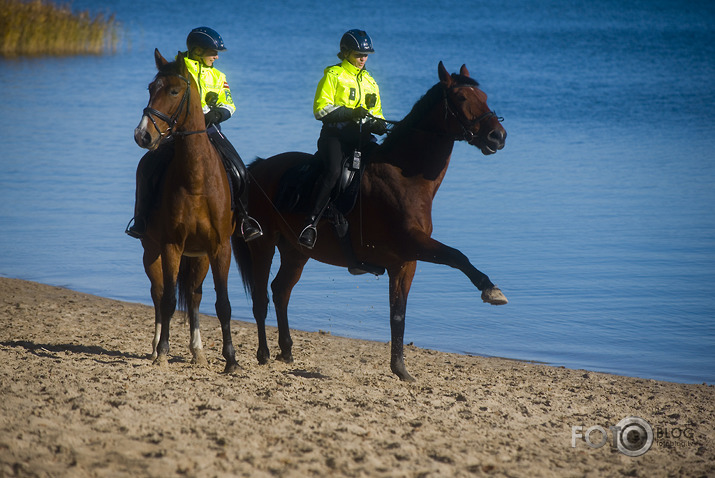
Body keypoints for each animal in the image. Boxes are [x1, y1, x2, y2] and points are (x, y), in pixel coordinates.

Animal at [131, 49, 238, 374]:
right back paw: (155, 348)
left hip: (199, 256)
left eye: (174, 91)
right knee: (157, 293)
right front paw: (164, 352)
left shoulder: (220, 247)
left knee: (193, 295)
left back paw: (198, 352)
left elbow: (222, 304)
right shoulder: (171, 245)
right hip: (151, 250)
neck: (197, 179)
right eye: (151, 88)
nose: (142, 136)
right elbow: (167, 300)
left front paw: (231, 359)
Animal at [234, 62, 510, 380]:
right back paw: (264, 353)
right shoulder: (414, 244)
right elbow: (457, 256)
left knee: (281, 291)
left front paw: (400, 369)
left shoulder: (405, 262)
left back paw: (287, 350)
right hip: (263, 245)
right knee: (261, 299)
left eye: (484, 96)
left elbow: (398, 315)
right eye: (462, 98)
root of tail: (257, 168)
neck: (405, 177)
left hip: (296, 251)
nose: (498, 136)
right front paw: (491, 289)